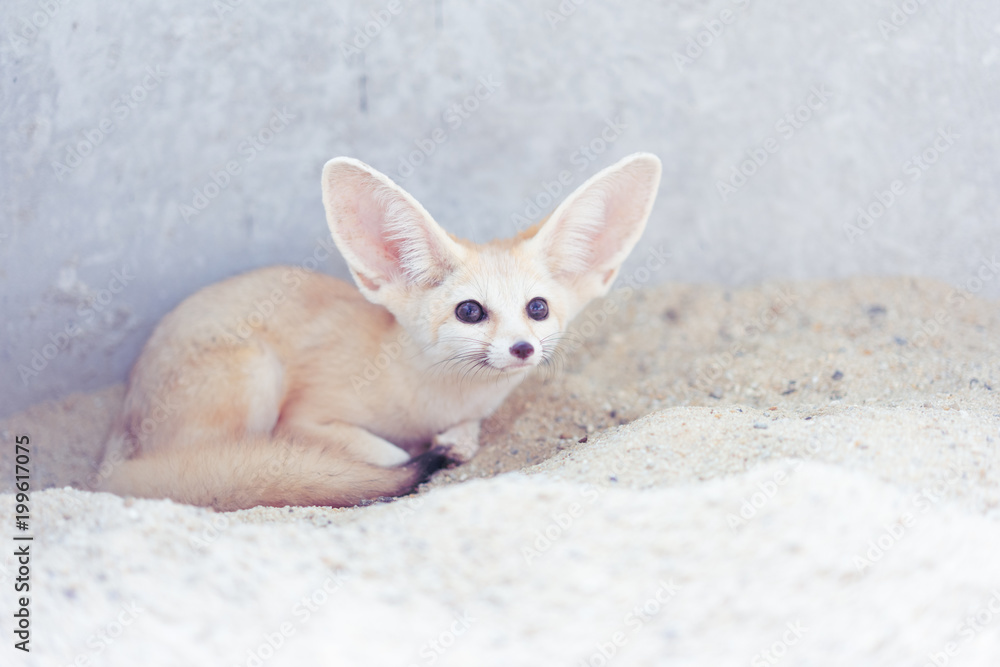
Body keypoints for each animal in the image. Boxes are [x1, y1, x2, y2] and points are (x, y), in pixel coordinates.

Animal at [96, 152, 662, 511]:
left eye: (537, 308)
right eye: (470, 311)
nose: (523, 348)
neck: (432, 399)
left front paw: (459, 438)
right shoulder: (303, 418)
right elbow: (388, 453)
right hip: (254, 375)